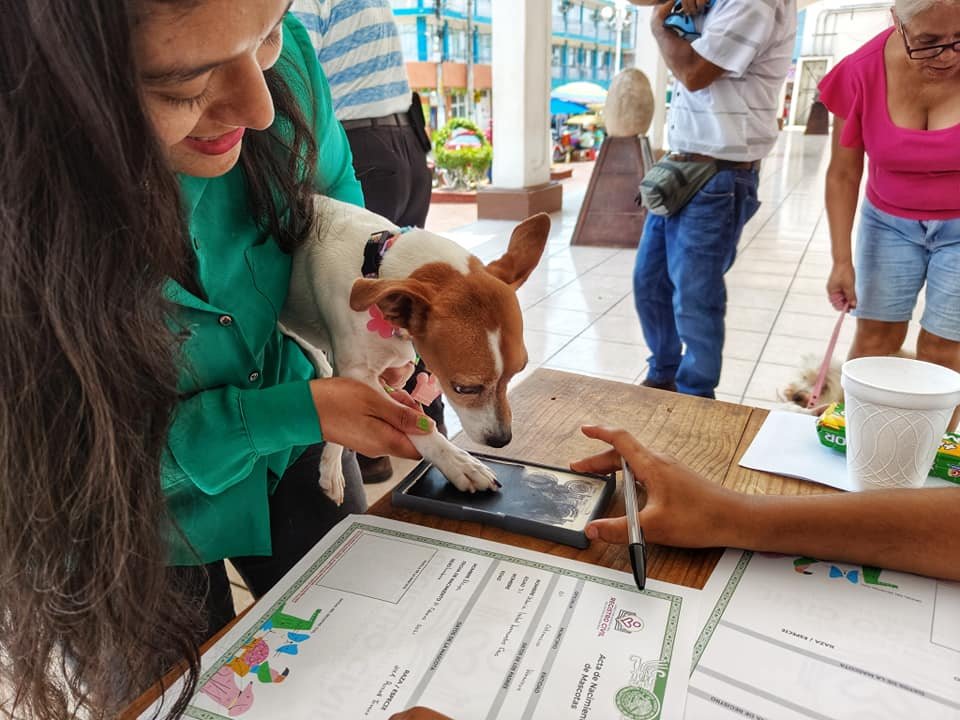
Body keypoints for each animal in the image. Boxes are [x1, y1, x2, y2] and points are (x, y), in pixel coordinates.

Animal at [278, 194, 548, 504]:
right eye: (464, 389)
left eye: (518, 372)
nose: (501, 440)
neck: (376, 269)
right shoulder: (358, 373)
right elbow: (419, 426)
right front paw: (457, 462)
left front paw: (330, 464)